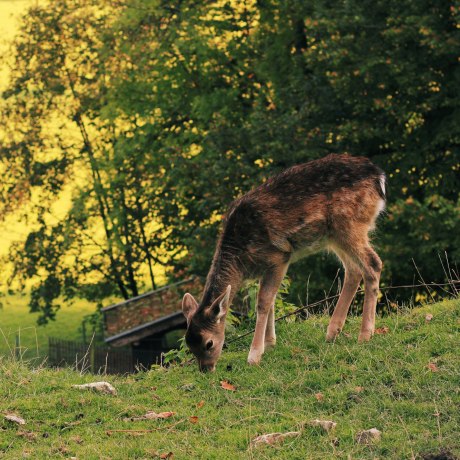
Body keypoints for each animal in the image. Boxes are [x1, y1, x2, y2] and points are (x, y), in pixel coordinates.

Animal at [181, 154, 386, 370]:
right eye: (190, 346)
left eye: (208, 343)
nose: (206, 369)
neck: (241, 260)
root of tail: (379, 177)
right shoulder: (265, 267)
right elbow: (270, 300)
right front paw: (270, 343)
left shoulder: (277, 257)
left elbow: (263, 302)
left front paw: (254, 355)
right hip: (334, 236)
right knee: (354, 270)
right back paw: (332, 332)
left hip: (349, 224)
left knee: (373, 263)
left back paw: (365, 334)